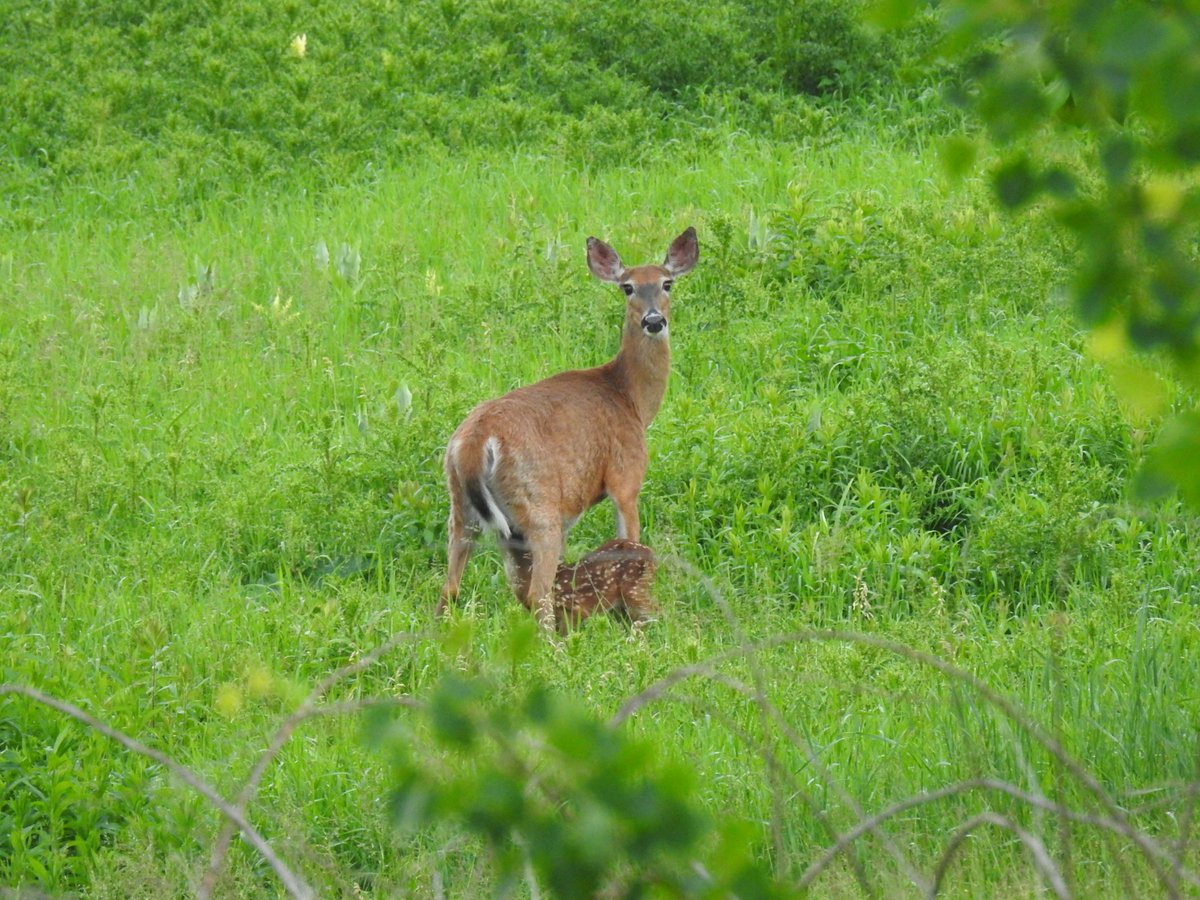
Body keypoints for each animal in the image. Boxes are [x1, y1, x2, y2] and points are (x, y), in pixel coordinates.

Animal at [437, 227, 698, 628]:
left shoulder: (570, 510)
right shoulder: (625, 476)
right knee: (538, 592)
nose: (654, 321)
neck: (630, 398)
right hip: (537, 504)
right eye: (628, 287)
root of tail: (475, 441)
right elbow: (630, 537)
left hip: (461, 504)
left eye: (666, 283)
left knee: (449, 585)